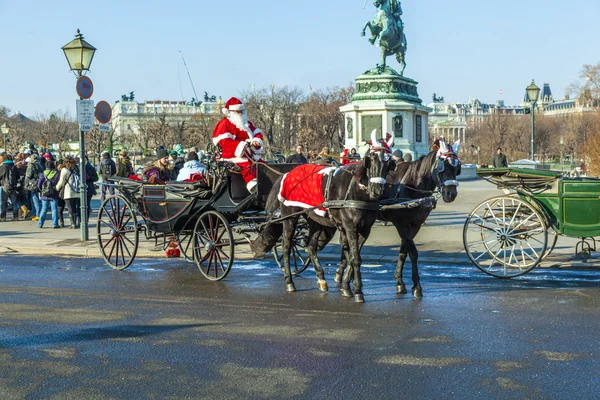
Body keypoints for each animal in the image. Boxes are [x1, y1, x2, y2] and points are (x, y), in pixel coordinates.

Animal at [264, 148, 396, 302]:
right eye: (371, 162)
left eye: (387, 166)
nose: (377, 190)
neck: (355, 191)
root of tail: (287, 174)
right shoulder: (350, 227)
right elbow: (355, 258)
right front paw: (357, 291)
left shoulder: (364, 229)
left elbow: (350, 257)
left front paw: (346, 286)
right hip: (290, 217)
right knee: (287, 246)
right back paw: (289, 281)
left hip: (314, 219)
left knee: (311, 246)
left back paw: (321, 278)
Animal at [336, 141, 462, 296]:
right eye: (442, 168)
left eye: (457, 168)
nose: (451, 194)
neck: (413, 184)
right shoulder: (401, 224)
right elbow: (413, 252)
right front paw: (417, 286)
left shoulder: (415, 225)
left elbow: (404, 252)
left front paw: (400, 282)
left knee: (345, 244)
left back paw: (341, 273)